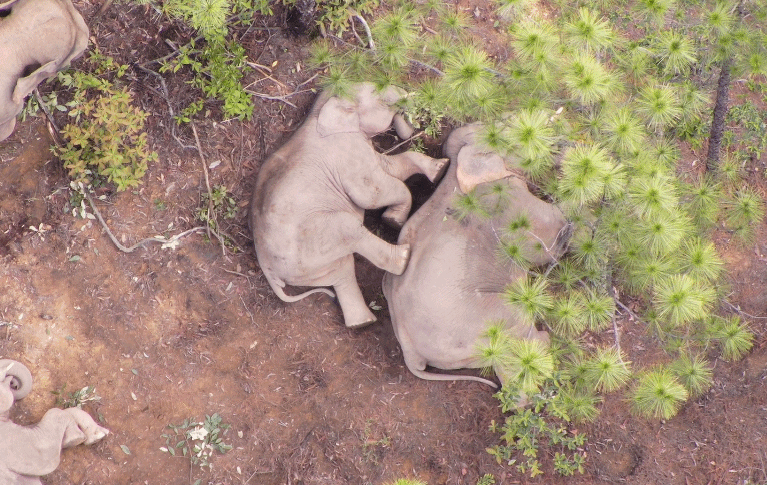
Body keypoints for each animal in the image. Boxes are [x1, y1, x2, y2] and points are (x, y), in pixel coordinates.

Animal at [249, 81, 448, 328]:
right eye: (377, 92)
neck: (318, 113)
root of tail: (268, 270)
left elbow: (393, 167)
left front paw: (440, 169)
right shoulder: (347, 155)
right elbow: (372, 192)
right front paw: (392, 221)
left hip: (309, 265)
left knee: (342, 270)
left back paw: (363, 323)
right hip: (311, 240)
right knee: (348, 231)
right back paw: (403, 258)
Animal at [384, 123, 568, 388]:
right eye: (511, 136)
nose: (563, 143)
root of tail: (410, 353)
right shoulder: (511, 202)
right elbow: (555, 241)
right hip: (484, 320)